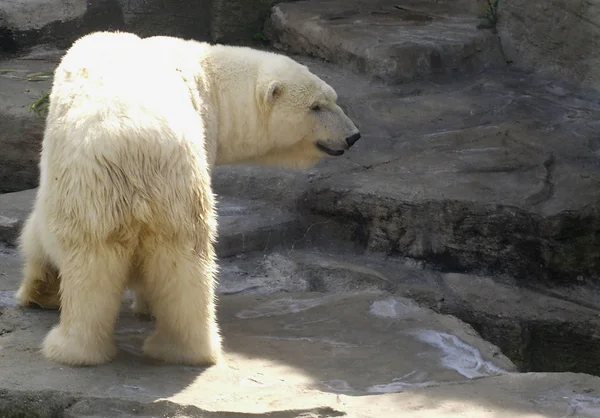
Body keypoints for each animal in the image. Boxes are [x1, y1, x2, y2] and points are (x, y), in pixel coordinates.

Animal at [15, 31, 360, 366]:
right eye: (316, 106)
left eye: (331, 100)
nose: (353, 135)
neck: (212, 79)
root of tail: (138, 147)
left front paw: (39, 291)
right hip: (172, 192)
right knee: (182, 264)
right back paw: (178, 348)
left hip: (127, 194)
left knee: (99, 263)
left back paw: (74, 347)